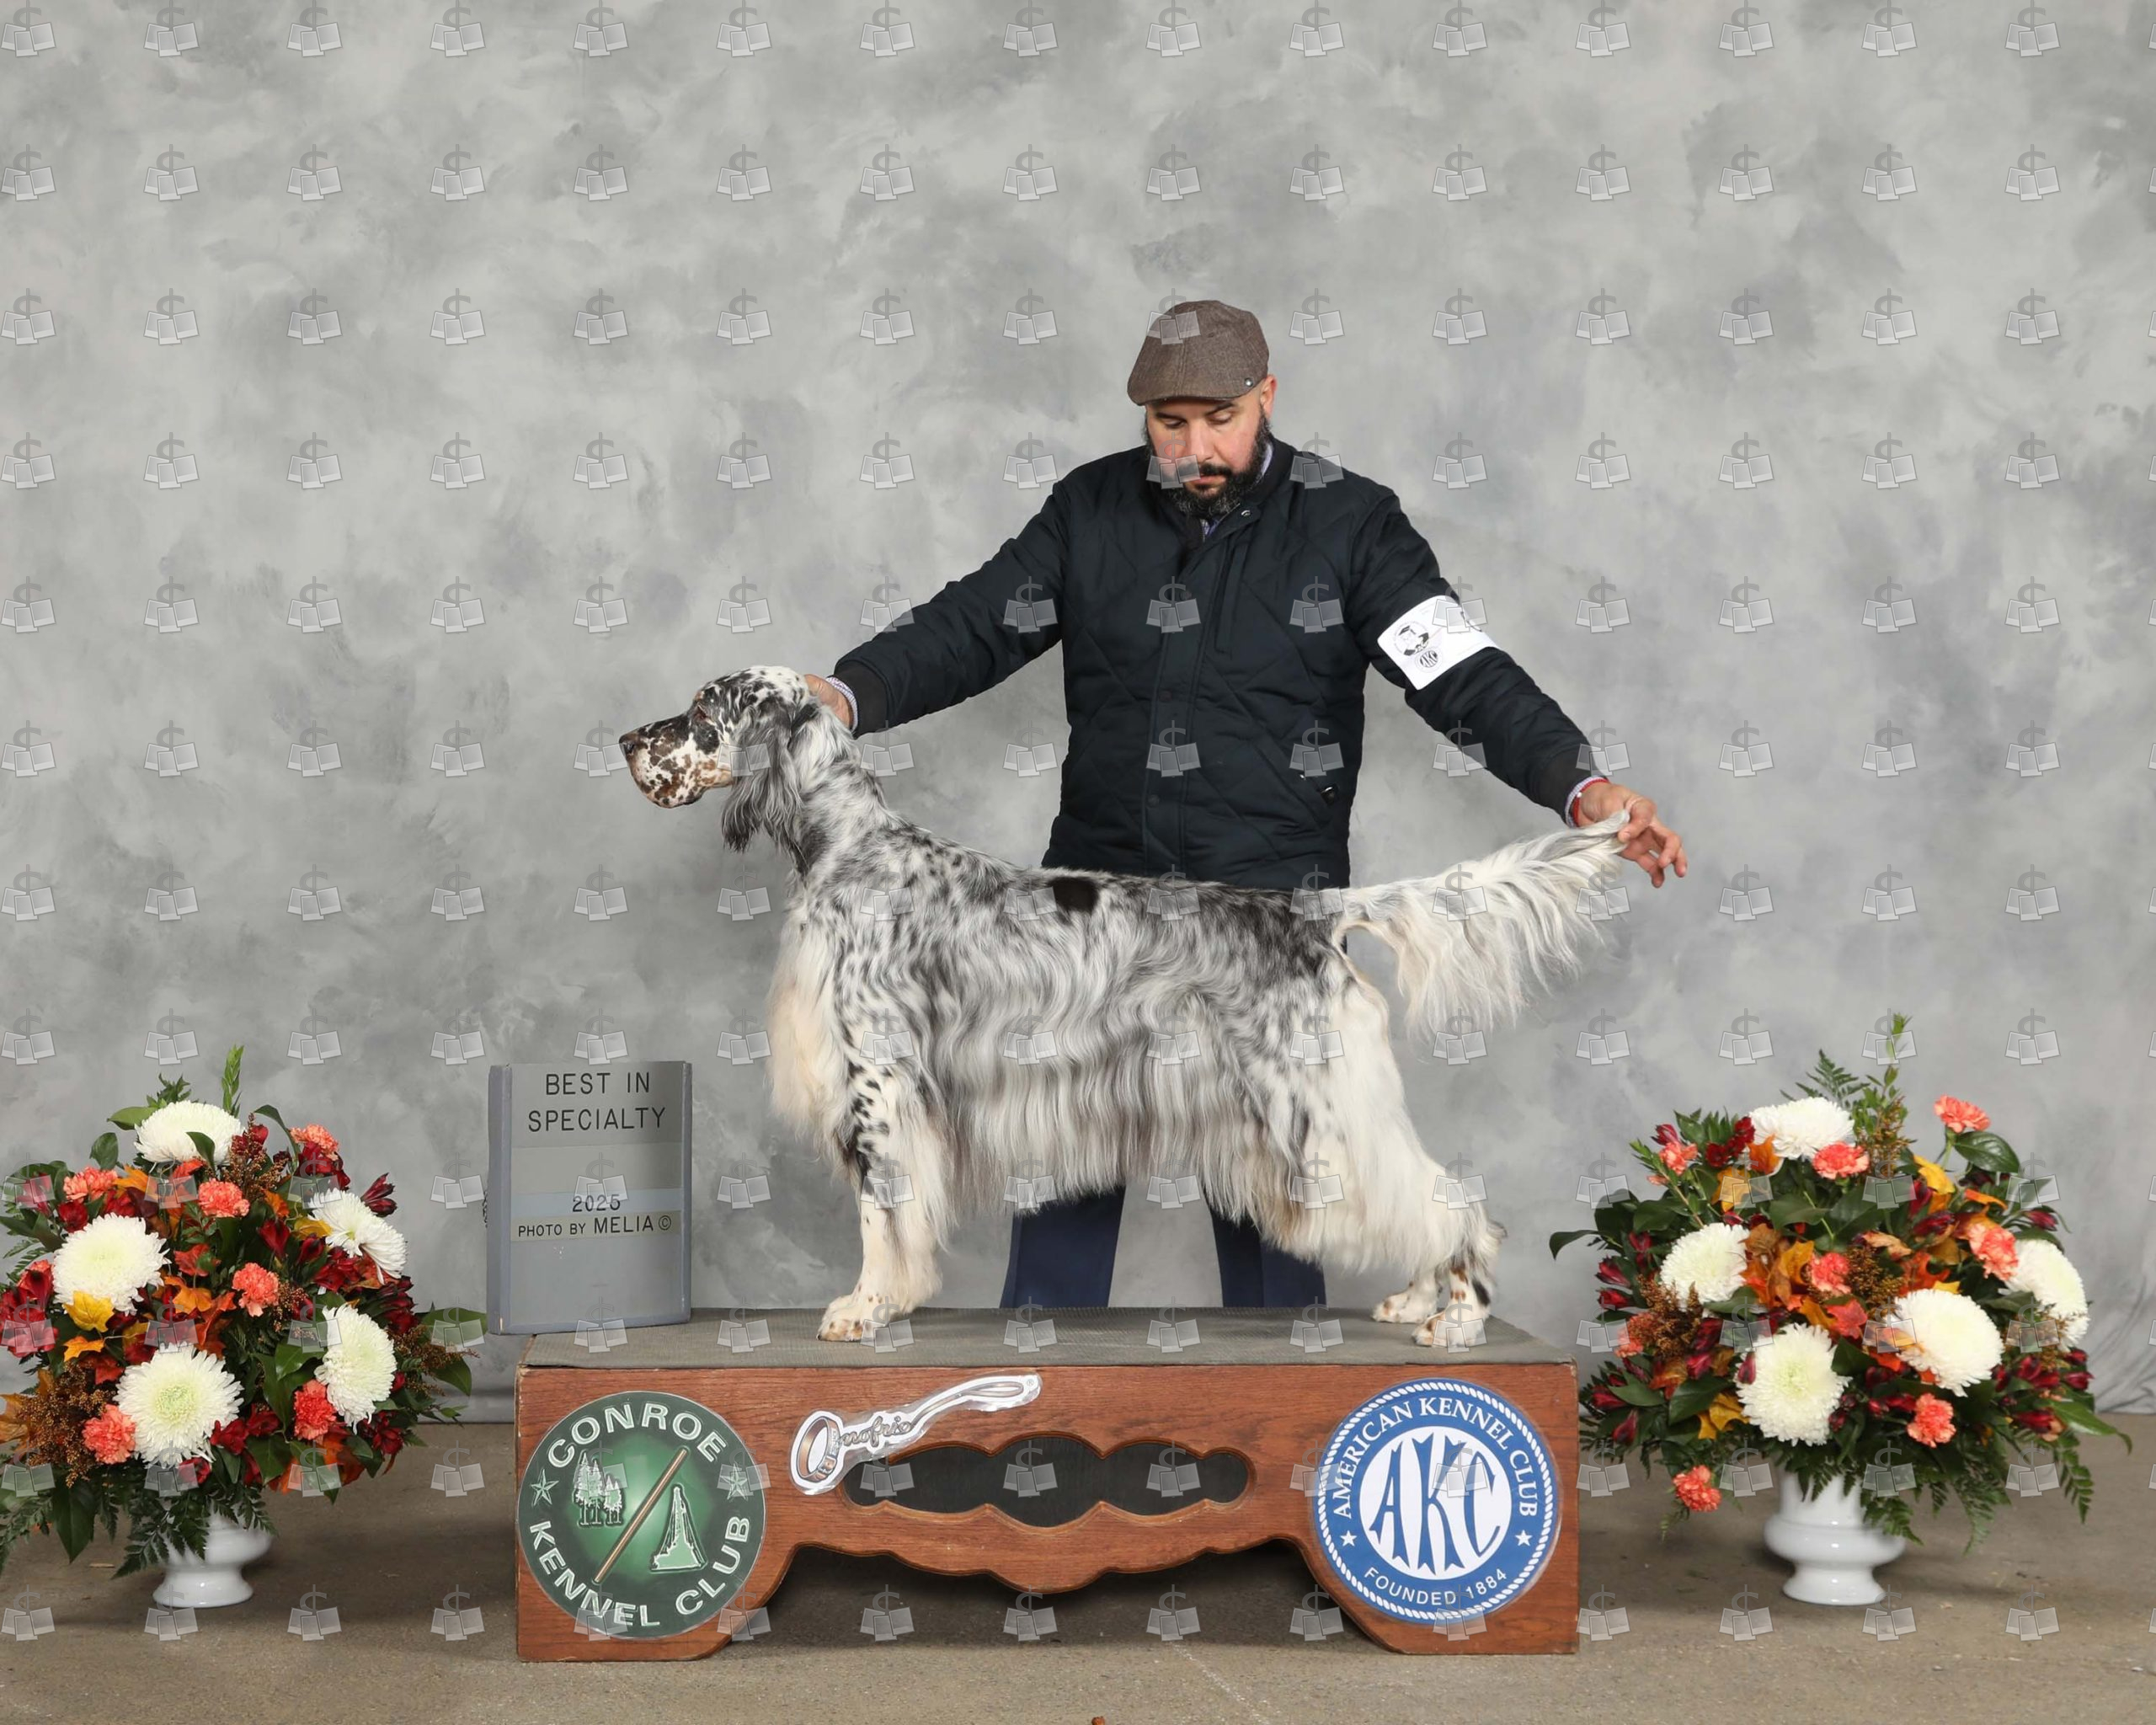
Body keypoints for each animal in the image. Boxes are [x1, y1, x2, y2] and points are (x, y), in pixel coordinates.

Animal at [621, 666, 1629, 1345]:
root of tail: (1311, 911)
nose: (629, 741)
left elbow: (881, 1206)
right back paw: (1418, 1297)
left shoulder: (878, 1077)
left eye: (704, 712)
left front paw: (864, 1306)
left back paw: (1457, 1317)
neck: (850, 847)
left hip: (1313, 1102)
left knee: (1446, 1198)